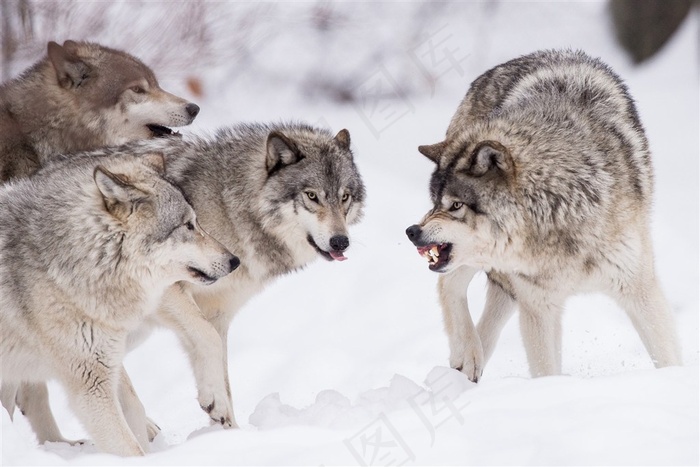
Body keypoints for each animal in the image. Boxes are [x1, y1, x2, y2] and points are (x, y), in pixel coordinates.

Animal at [0, 152, 239, 456]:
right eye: (188, 225)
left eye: (196, 221)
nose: (235, 261)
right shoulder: (90, 385)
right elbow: (128, 444)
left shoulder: (106, 355)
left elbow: (135, 408)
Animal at [56, 121, 366, 436]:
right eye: (312, 196)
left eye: (344, 197)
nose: (341, 242)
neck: (230, 206)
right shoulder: (170, 290)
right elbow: (209, 342)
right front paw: (214, 404)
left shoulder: (217, 313)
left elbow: (222, 370)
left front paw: (228, 431)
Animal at [408, 49, 680, 382]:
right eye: (436, 201)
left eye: (456, 205)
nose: (411, 232)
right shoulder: (538, 306)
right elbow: (546, 370)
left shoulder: (639, 290)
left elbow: (667, 356)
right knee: (449, 284)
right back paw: (468, 356)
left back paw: (465, 367)